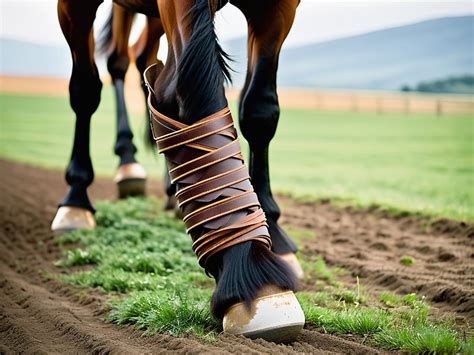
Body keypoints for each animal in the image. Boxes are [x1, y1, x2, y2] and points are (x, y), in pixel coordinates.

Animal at [51, 0, 304, 344]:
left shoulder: (278, 10)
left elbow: (260, 111)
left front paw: (272, 233)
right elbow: (86, 90)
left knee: (140, 57)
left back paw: (169, 189)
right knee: (115, 64)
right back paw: (122, 167)